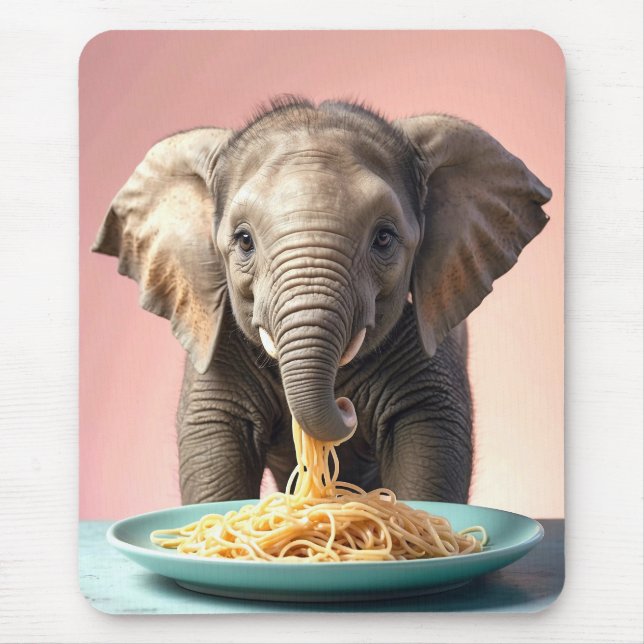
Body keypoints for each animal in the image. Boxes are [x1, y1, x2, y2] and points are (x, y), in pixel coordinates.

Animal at [92, 96, 551, 505]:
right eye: (244, 240)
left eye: (384, 238)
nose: (346, 408)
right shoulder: (216, 347)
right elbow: (212, 446)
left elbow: (431, 441)